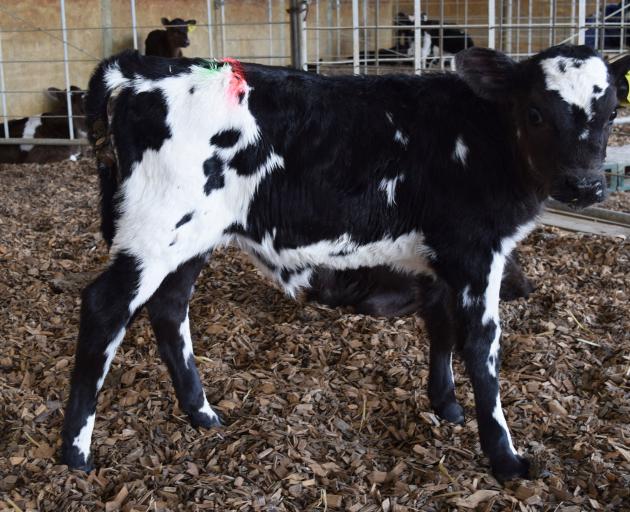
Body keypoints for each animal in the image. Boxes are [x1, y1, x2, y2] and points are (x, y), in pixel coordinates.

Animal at [61, 44, 620, 480]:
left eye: (612, 112)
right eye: (535, 112)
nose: (585, 186)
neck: (480, 136)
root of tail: (144, 67)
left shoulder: (437, 257)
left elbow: (439, 328)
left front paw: (446, 405)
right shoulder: (476, 253)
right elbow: (482, 351)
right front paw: (505, 458)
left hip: (191, 238)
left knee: (169, 310)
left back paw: (202, 414)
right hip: (155, 232)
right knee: (104, 307)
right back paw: (75, 452)